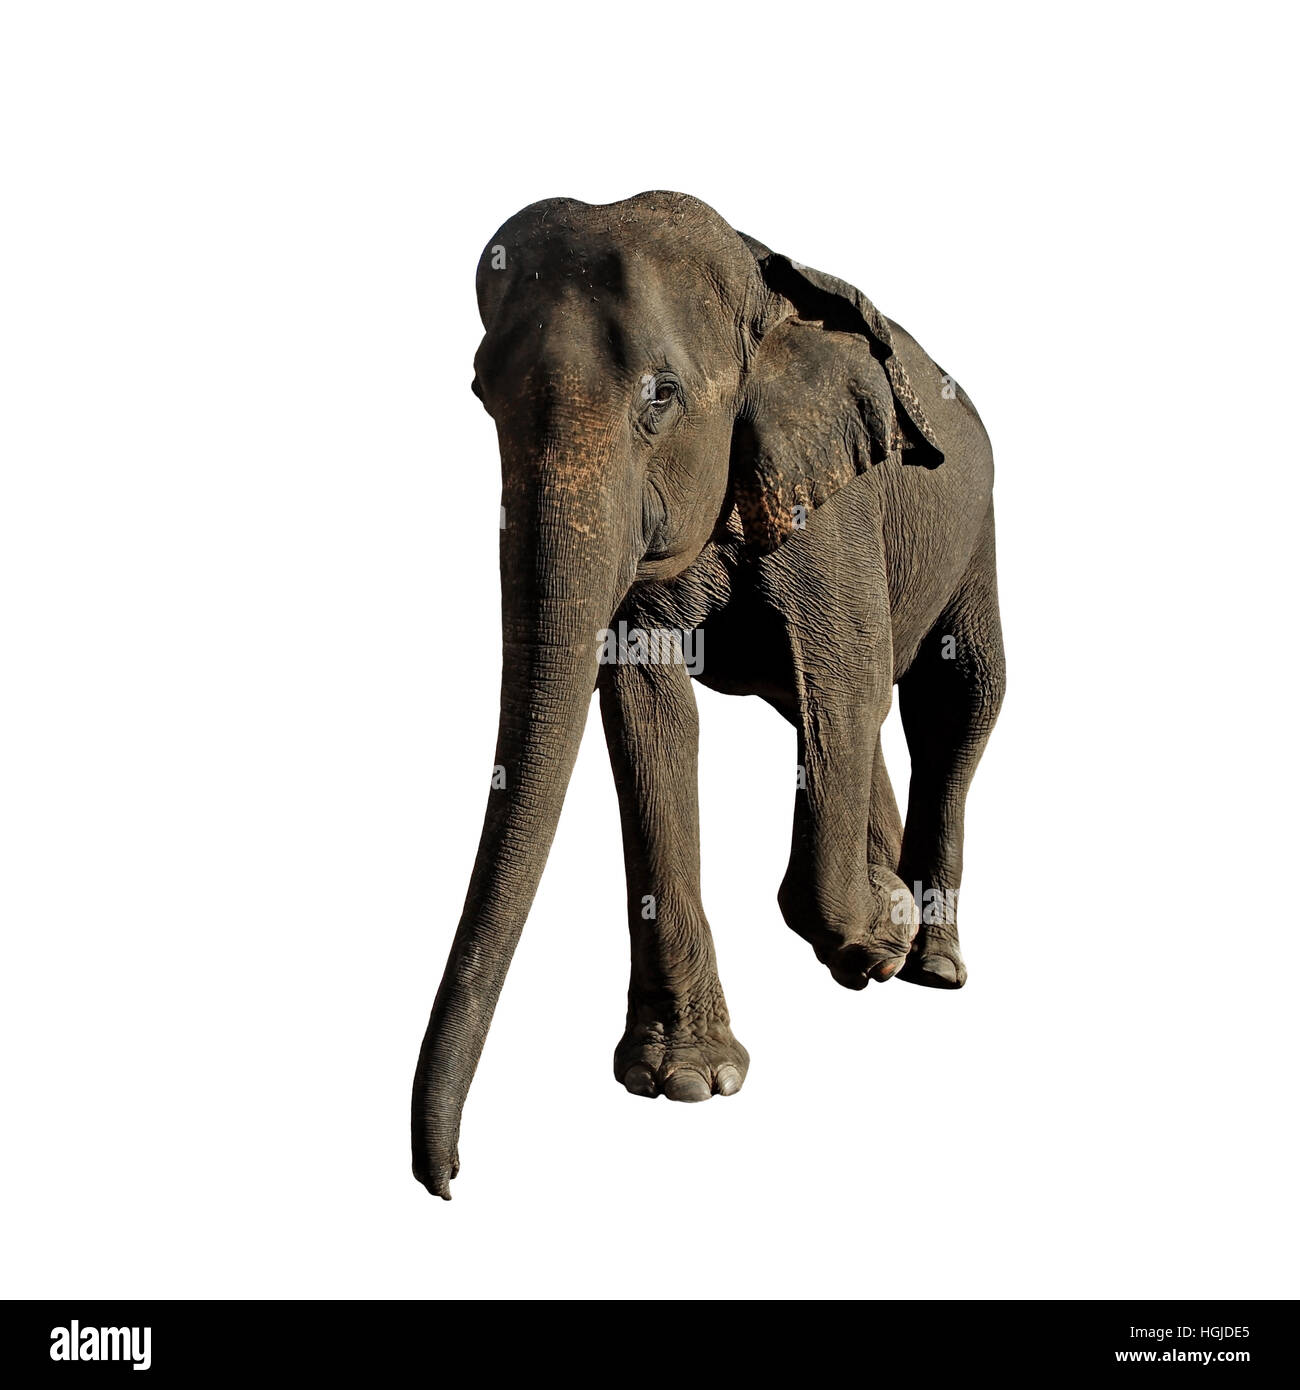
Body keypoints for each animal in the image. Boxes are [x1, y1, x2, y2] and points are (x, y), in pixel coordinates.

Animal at [412, 191, 1006, 1199]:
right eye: (484, 392)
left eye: (661, 396)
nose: (446, 1177)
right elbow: (648, 707)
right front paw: (686, 1081)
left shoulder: (833, 502)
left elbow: (845, 673)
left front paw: (879, 929)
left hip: (979, 525)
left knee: (952, 702)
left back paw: (929, 961)